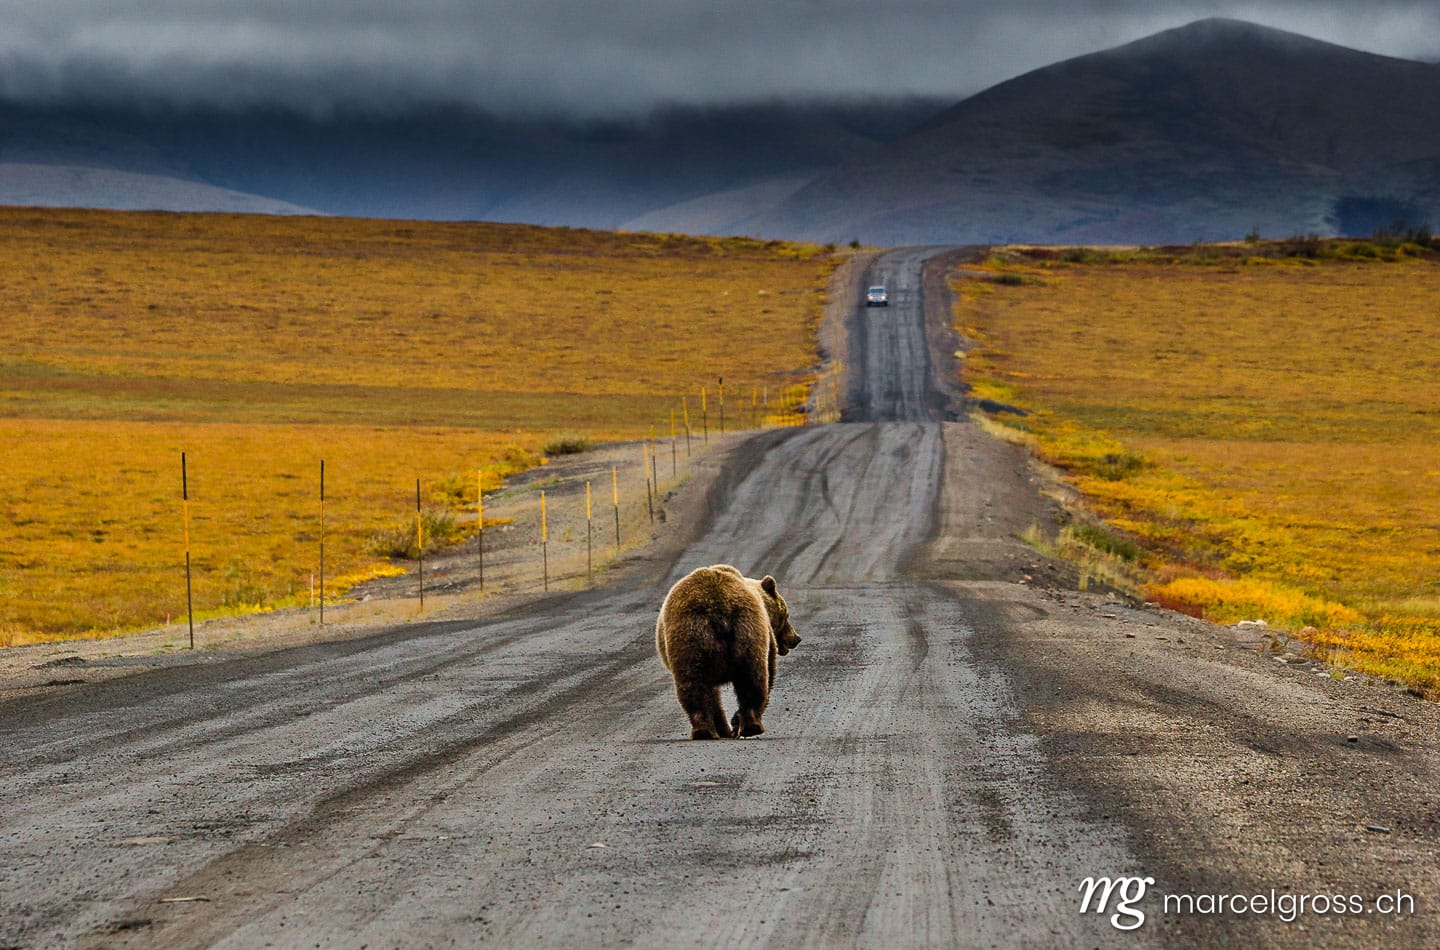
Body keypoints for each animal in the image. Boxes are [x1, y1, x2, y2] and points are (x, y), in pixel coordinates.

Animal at [655, 564, 801, 740]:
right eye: (786, 615)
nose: (796, 638)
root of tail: (716, 607)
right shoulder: (767, 637)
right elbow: (770, 670)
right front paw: (731, 725)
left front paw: (726, 726)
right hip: (746, 632)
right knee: (753, 679)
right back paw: (749, 726)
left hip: (690, 638)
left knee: (694, 685)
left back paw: (705, 731)